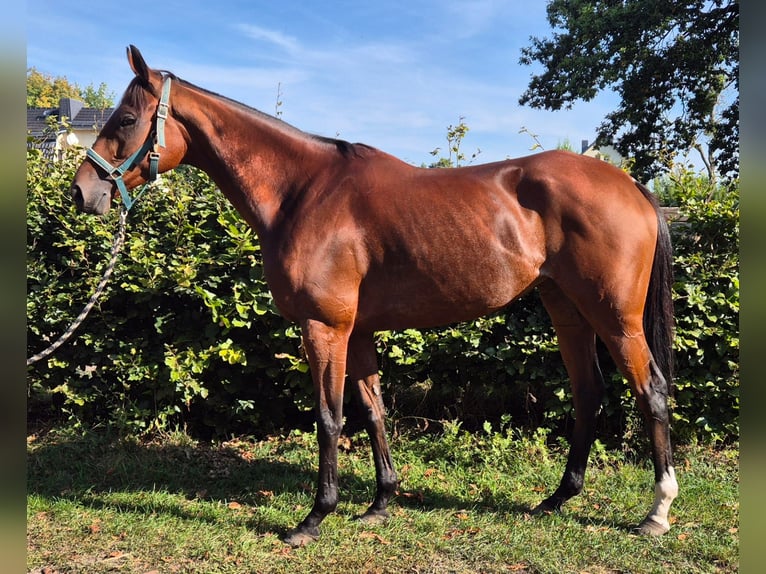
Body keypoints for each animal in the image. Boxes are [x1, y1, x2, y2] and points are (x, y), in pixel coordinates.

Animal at [70, 46, 680, 548]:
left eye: (126, 120)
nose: (82, 192)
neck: (303, 193)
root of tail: (632, 186)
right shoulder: (357, 330)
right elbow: (372, 410)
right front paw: (380, 503)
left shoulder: (324, 327)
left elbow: (329, 416)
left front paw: (314, 517)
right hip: (566, 308)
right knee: (588, 392)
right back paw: (556, 499)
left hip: (615, 316)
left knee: (650, 390)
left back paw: (656, 512)